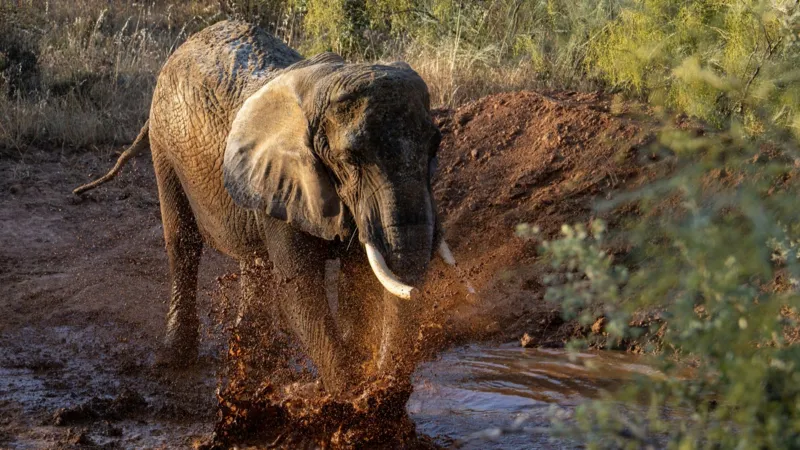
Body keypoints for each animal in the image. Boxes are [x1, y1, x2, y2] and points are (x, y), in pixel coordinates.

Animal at [74, 20, 462, 394]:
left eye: (435, 145)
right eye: (351, 160)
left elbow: (356, 280)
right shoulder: (284, 180)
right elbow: (301, 290)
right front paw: (351, 402)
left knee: (253, 259)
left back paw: (251, 355)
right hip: (164, 145)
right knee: (183, 243)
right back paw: (175, 359)